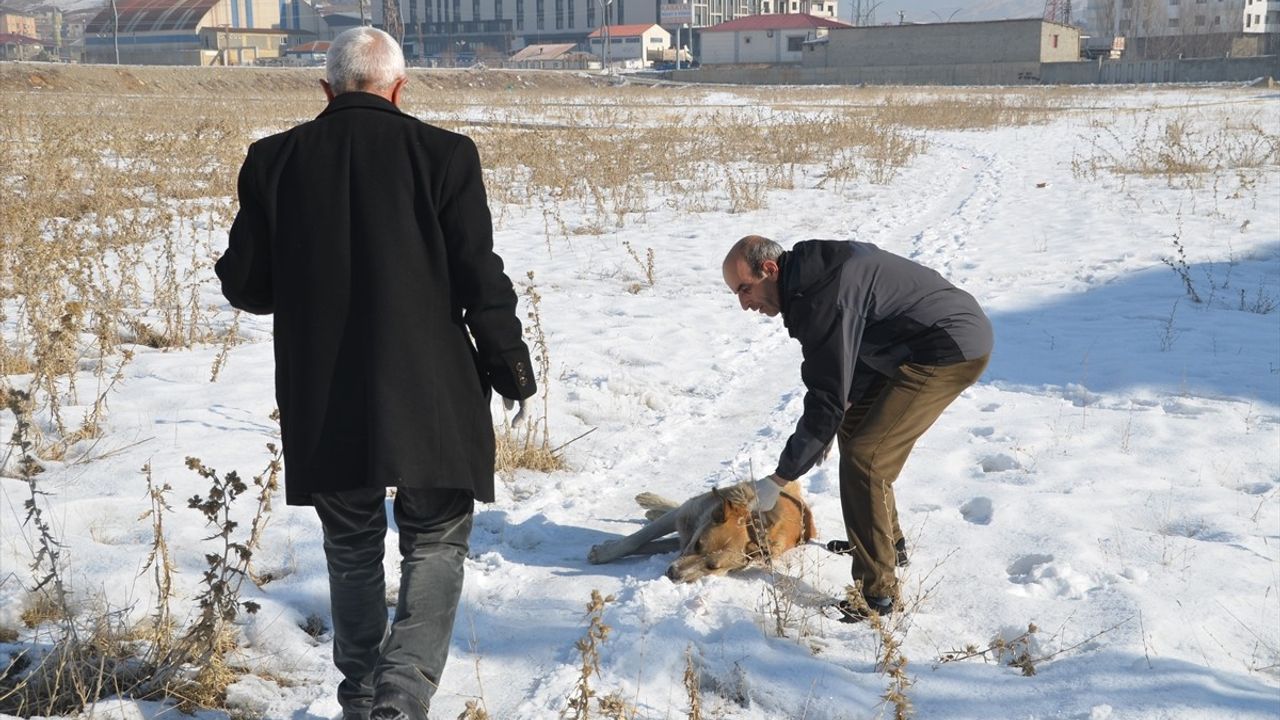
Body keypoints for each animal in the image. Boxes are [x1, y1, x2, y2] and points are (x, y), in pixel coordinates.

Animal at [586, 476, 814, 584]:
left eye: (712, 567)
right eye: (697, 545)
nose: (672, 574)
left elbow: (647, 545)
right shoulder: (685, 517)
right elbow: (637, 540)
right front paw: (603, 553)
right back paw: (651, 503)